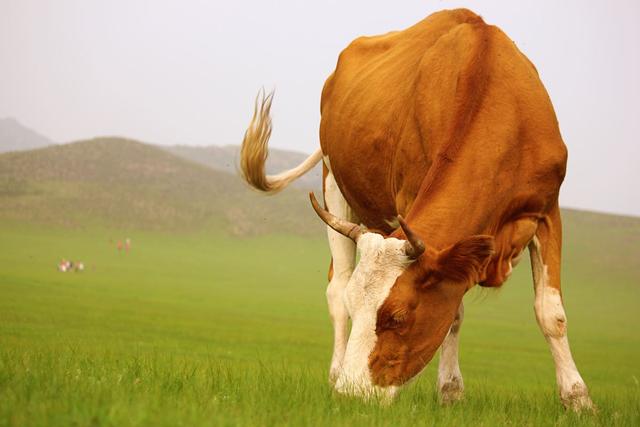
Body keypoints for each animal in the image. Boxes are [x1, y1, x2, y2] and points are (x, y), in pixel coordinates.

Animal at [240, 9, 596, 412]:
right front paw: (451, 390)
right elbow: (453, 311)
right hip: (334, 188)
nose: (352, 395)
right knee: (337, 286)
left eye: (396, 317)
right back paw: (334, 372)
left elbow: (551, 312)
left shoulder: (548, 211)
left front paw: (578, 399)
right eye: (359, 309)